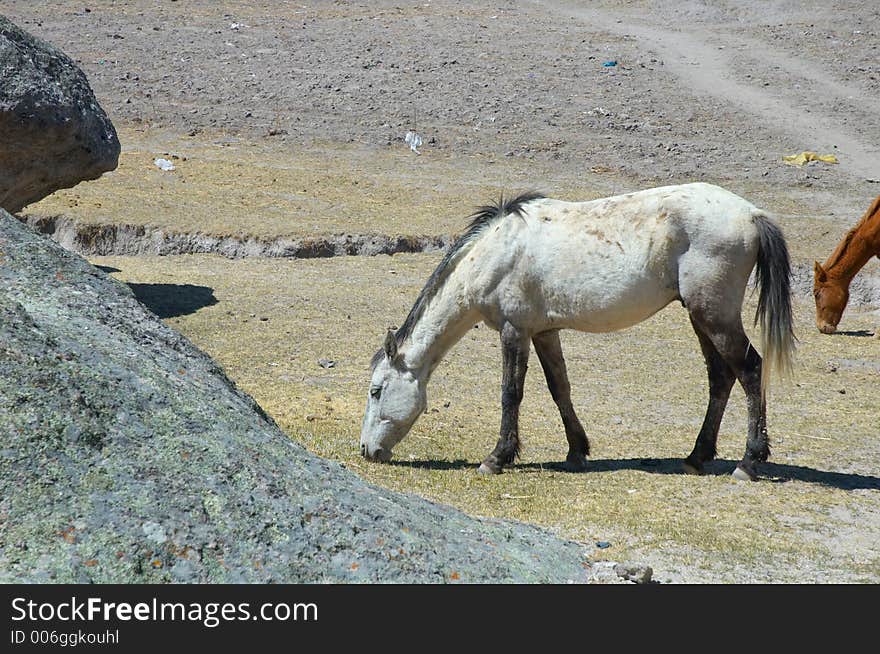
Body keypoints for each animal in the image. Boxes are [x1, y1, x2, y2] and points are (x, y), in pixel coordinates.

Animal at [360, 183, 796, 482]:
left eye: (376, 391)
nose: (366, 450)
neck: (494, 253)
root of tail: (752, 214)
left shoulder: (514, 331)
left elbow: (511, 394)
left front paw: (497, 458)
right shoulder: (543, 331)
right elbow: (560, 388)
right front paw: (576, 451)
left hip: (715, 317)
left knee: (750, 371)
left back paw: (748, 462)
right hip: (701, 318)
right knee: (721, 377)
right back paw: (696, 457)